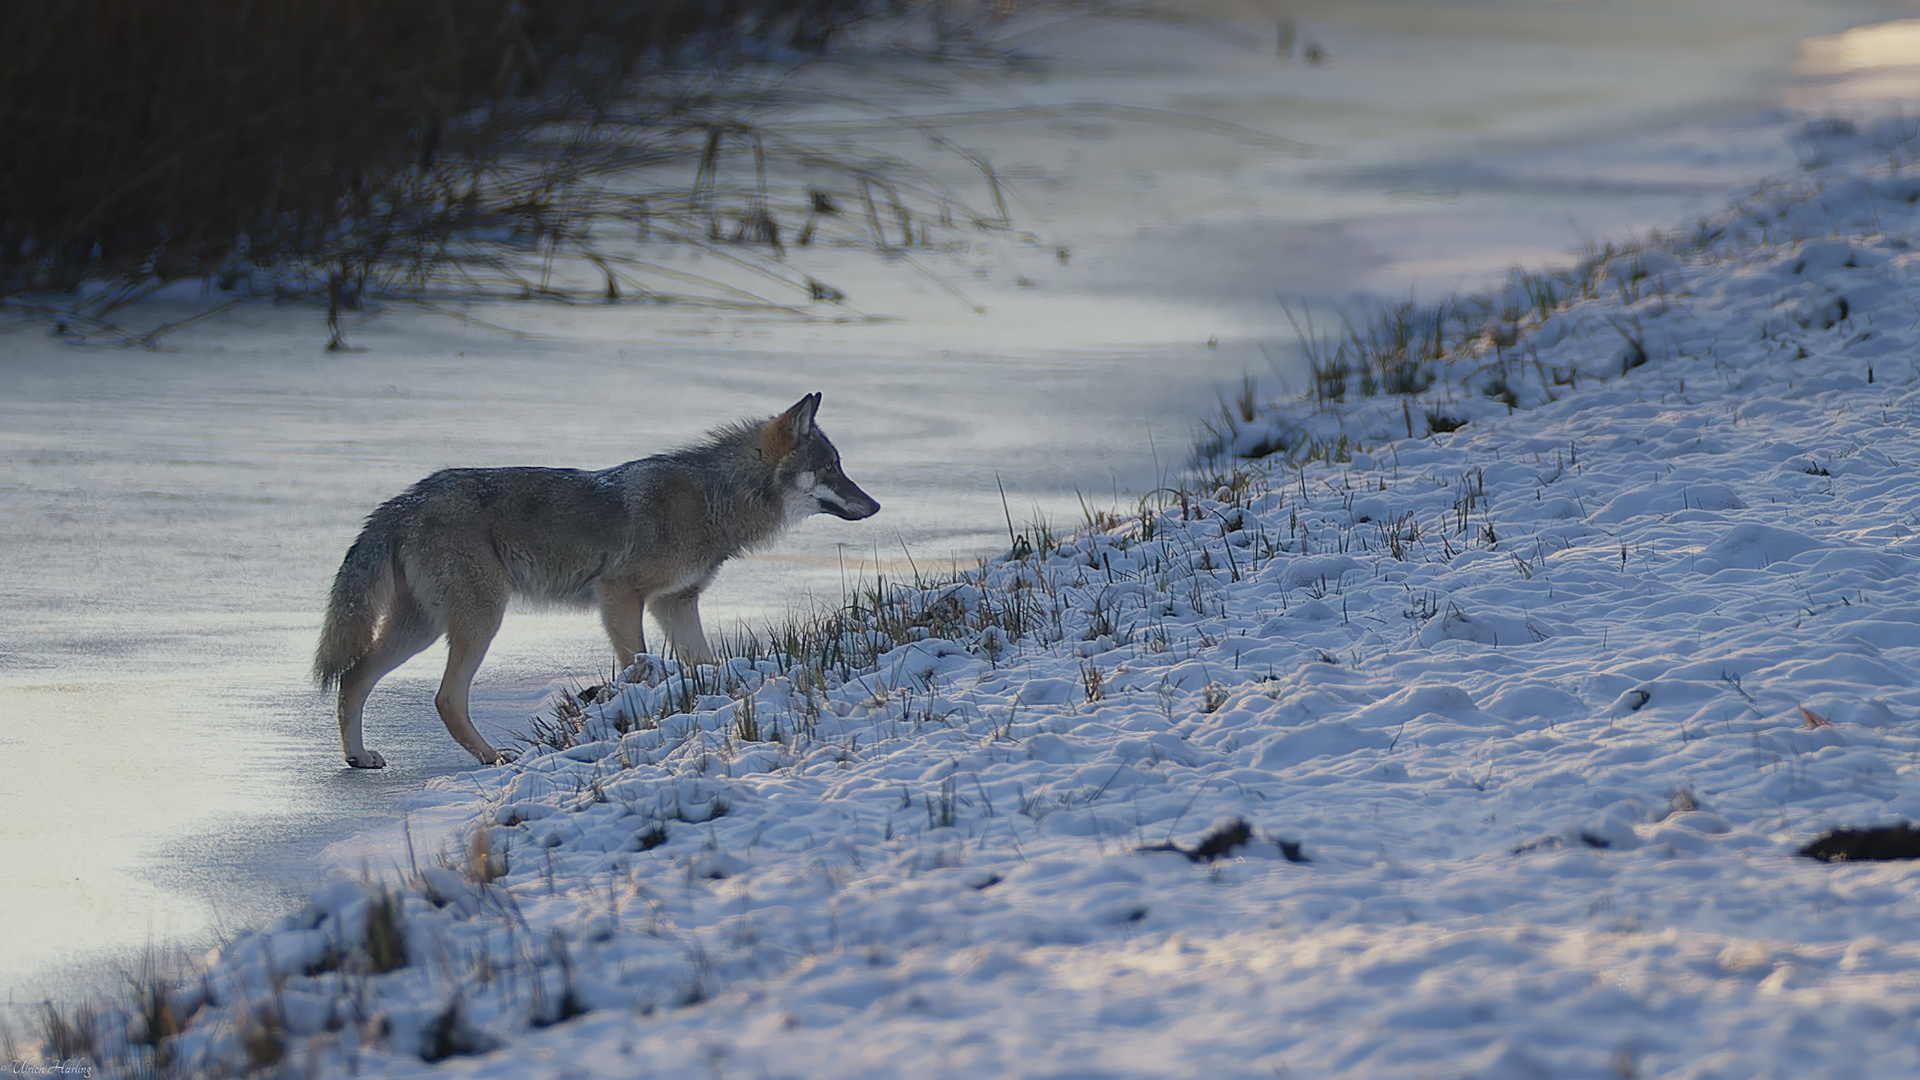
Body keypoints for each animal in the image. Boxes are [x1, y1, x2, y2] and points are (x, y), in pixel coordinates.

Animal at [312, 388, 879, 764]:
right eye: (831, 467)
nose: (875, 505)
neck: (715, 499)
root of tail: (402, 501)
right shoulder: (619, 595)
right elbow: (640, 665)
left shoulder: (675, 605)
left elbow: (703, 665)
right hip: (479, 621)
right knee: (443, 698)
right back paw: (493, 758)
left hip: (424, 628)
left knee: (354, 677)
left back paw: (359, 757)